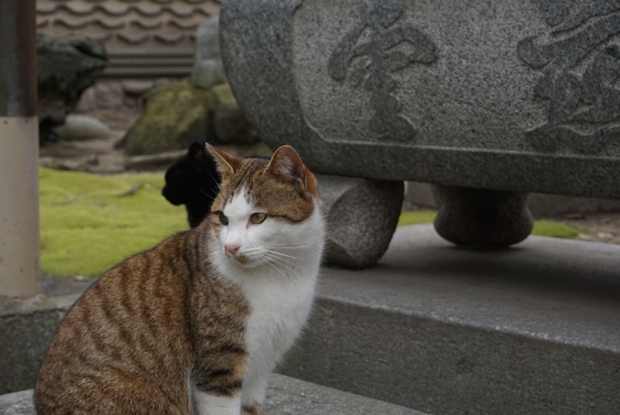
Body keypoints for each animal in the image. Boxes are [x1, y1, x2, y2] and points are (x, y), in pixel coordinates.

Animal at [34, 145, 326, 414]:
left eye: (258, 217)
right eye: (223, 218)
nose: (230, 247)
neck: (279, 275)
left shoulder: (261, 369)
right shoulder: (218, 368)